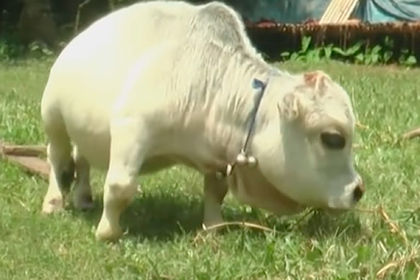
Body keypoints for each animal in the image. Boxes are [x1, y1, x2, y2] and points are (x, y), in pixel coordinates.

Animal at [41, 0, 366, 242]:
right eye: (333, 138)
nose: (357, 190)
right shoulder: (132, 127)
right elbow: (120, 187)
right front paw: (108, 232)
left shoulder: (218, 157)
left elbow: (215, 192)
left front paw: (214, 228)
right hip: (53, 117)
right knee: (57, 158)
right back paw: (53, 202)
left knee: (80, 160)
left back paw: (84, 198)